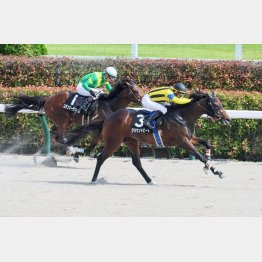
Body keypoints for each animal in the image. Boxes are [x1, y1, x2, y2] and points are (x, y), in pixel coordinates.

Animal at [4, 78, 143, 156]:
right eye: (136, 91)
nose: (143, 99)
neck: (109, 105)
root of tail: (48, 98)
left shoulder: (100, 130)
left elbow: (92, 145)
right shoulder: (98, 128)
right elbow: (91, 144)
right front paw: (79, 152)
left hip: (63, 121)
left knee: (55, 136)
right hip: (62, 120)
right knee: (60, 137)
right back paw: (70, 149)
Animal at [68, 91, 231, 184]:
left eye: (221, 103)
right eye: (217, 104)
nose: (228, 119)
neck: (182, 117)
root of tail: (108, 118)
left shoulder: (189, 138)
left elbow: (207, 143)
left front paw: (209, 165)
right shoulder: (182, 141)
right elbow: (199, 156)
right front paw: (217, 171)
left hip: (131, 141)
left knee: (137, 162)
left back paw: (150, 180)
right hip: (114, 142)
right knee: (101, 158)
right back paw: (93, 179)